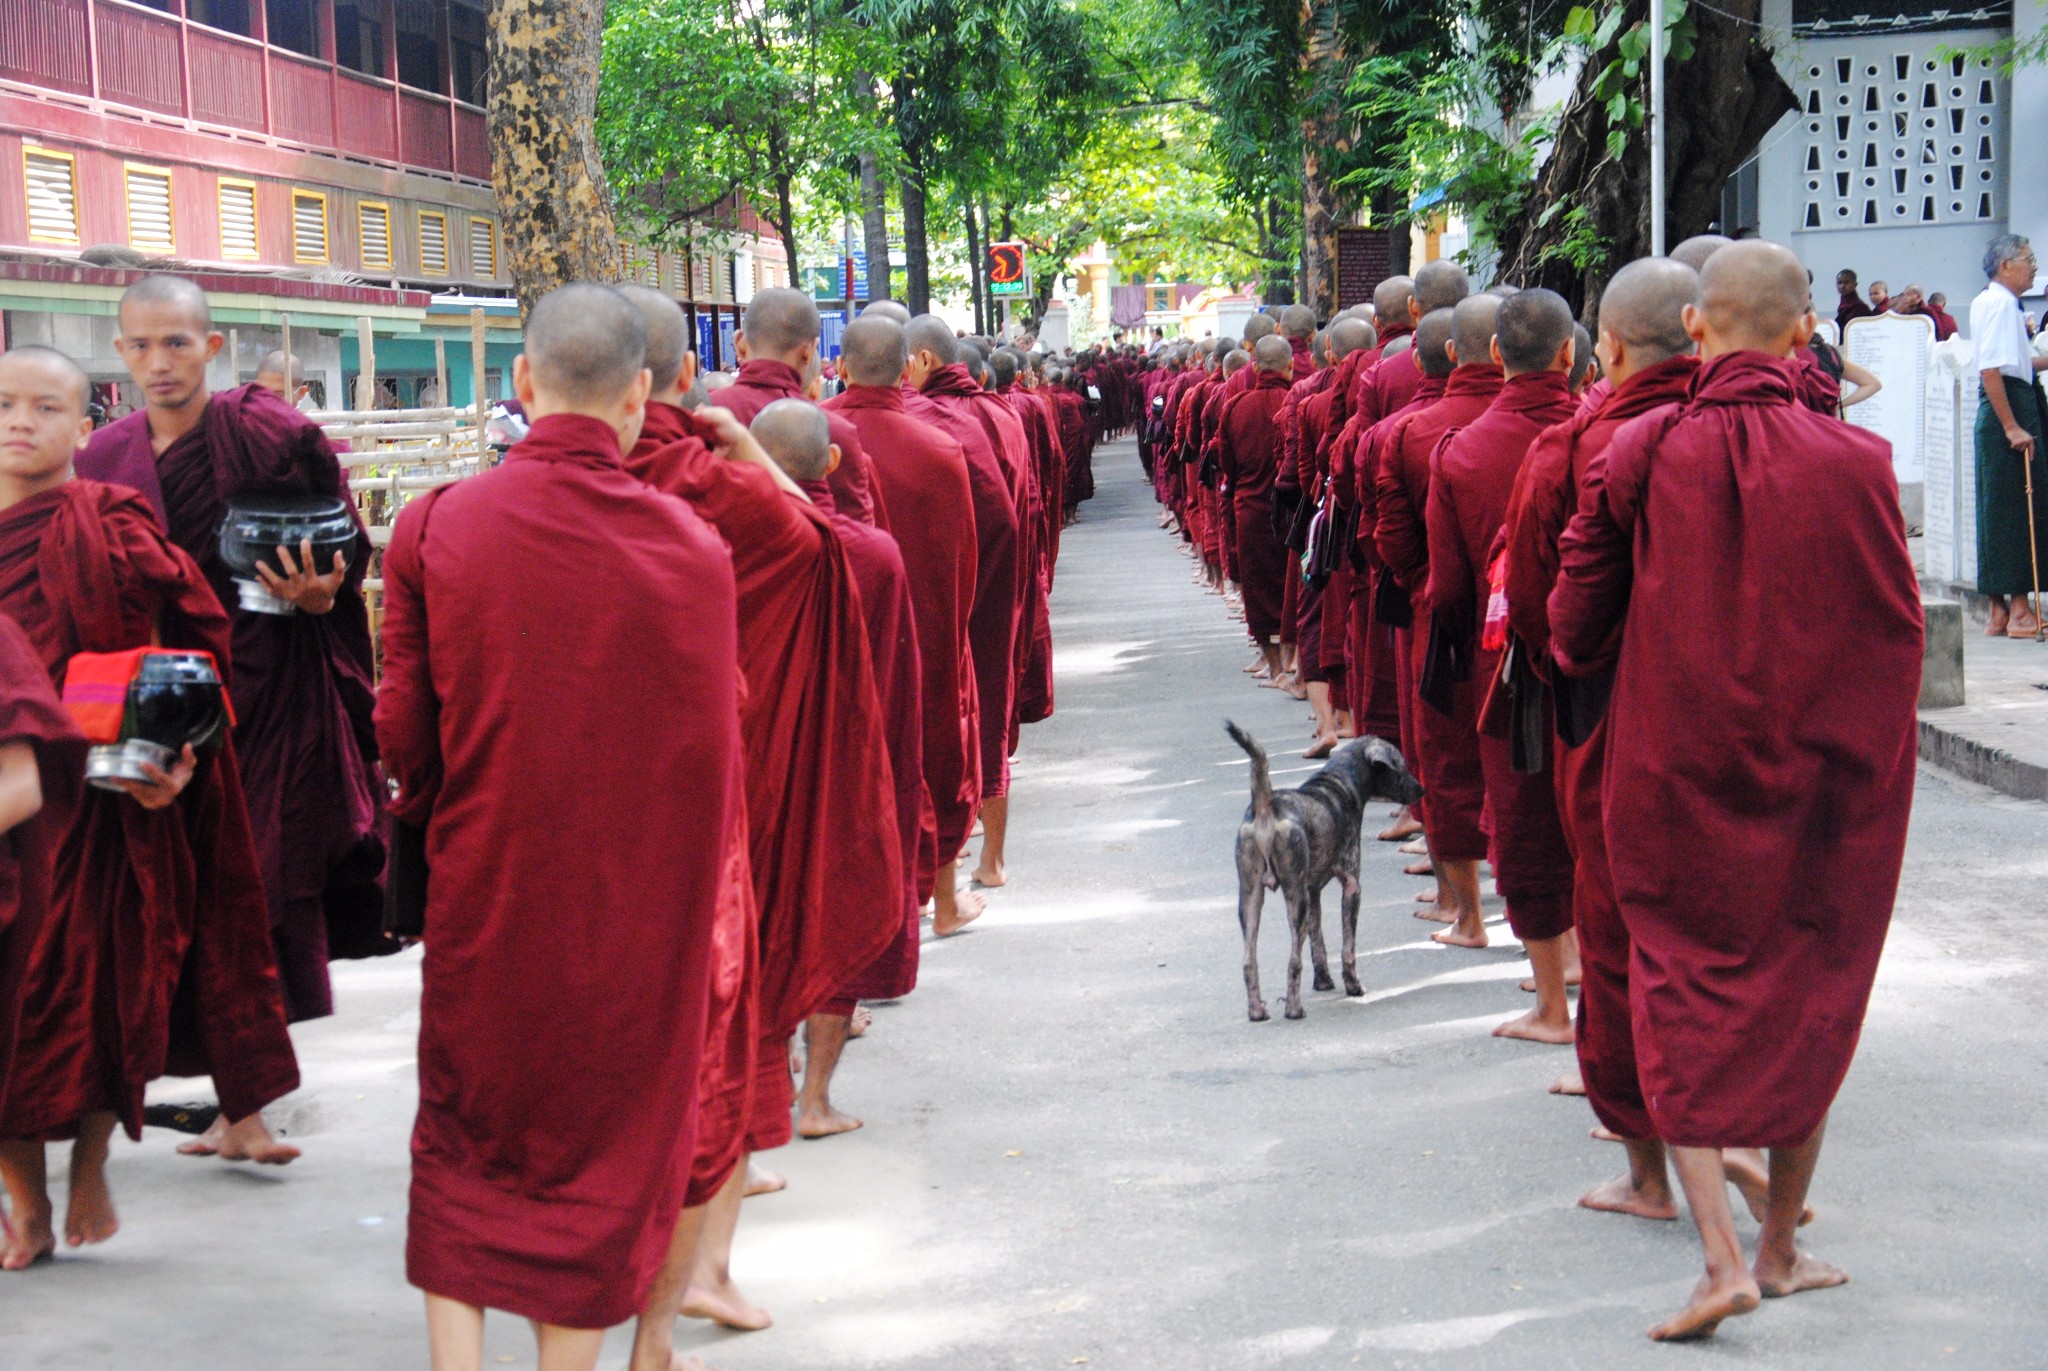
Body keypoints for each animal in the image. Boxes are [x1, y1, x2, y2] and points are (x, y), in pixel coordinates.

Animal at [1228, 721, 1425, 1020]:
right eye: (1401, 766)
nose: (1421, 790)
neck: (1340, 781)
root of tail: (1266, 807)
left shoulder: (1313, 892)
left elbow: (1317, 942)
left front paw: (1323, 981)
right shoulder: (1351, 885)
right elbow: (1347, 948)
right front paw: (1353, 986)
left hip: (1251, 898)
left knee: (1249, 961)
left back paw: (1257, 1011)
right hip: (1294, 898)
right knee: (1293, 960)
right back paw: (1293, 1008)